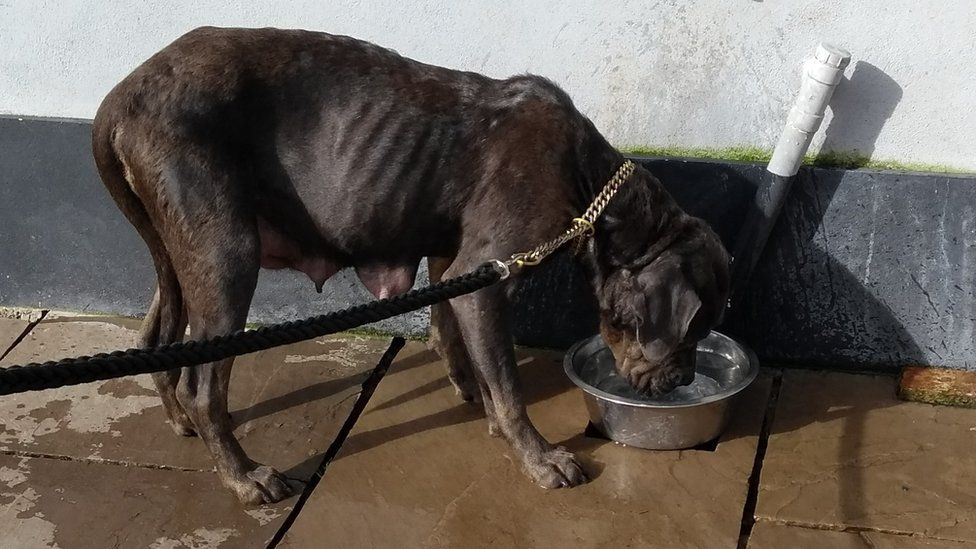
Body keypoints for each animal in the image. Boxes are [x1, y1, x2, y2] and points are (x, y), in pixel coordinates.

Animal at [91, 27, 732, 504]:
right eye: (692, 328)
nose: (683, 381)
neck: (589, 182)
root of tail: (117, 100)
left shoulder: (455, 264)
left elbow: (453, 332)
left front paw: (475, 396)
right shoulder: (486, 275)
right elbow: (509, 385)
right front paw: (537, 456)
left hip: (183, 253)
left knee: (158, 337)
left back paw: (180, 421)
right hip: (226, 255)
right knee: (205, 384)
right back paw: (243, 477)